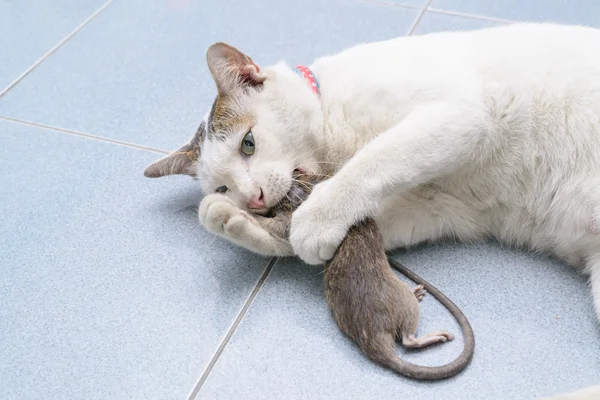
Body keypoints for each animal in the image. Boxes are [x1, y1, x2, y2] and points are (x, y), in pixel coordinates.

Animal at [144, 23, 600, 320]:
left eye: (249, 143)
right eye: (223, 186)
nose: (253, 199)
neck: (333, 138)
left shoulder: (458, 115)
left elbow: (374, 162)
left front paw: (316, 218)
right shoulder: (440, 207)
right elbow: (304, 231)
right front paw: (236, 220)